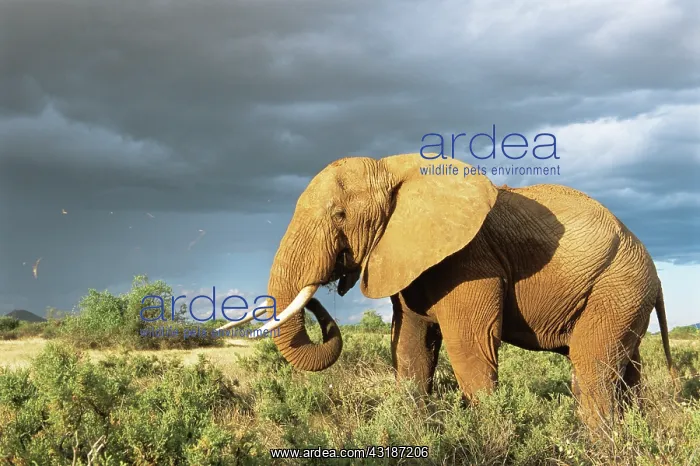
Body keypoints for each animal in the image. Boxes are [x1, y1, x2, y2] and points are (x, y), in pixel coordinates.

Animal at [218, 153, 674, 429]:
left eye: (340, 215)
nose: (328, 283)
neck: (392, 170)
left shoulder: (470, 260)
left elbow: (469, 346)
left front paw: (488, 435)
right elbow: (410, 346)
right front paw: (415, 430)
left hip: (618, 285)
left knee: (592, 368)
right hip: (626, 293)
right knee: (626, 370)